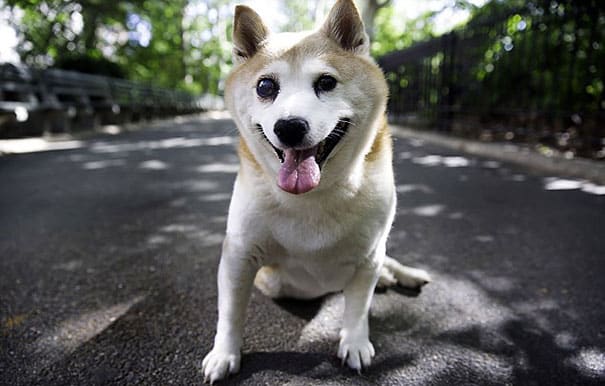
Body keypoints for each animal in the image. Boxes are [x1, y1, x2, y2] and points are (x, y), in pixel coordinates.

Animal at [203, 0, 430, 380]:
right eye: (265, 86)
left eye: (326, 82)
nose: (290, 127)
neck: (313, 197)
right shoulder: (240, 255)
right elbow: (231, 312)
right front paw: (224, 353)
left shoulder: (369, 254)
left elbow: (358, 308)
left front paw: (354, 342)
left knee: (387, 262)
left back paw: (401, 275)